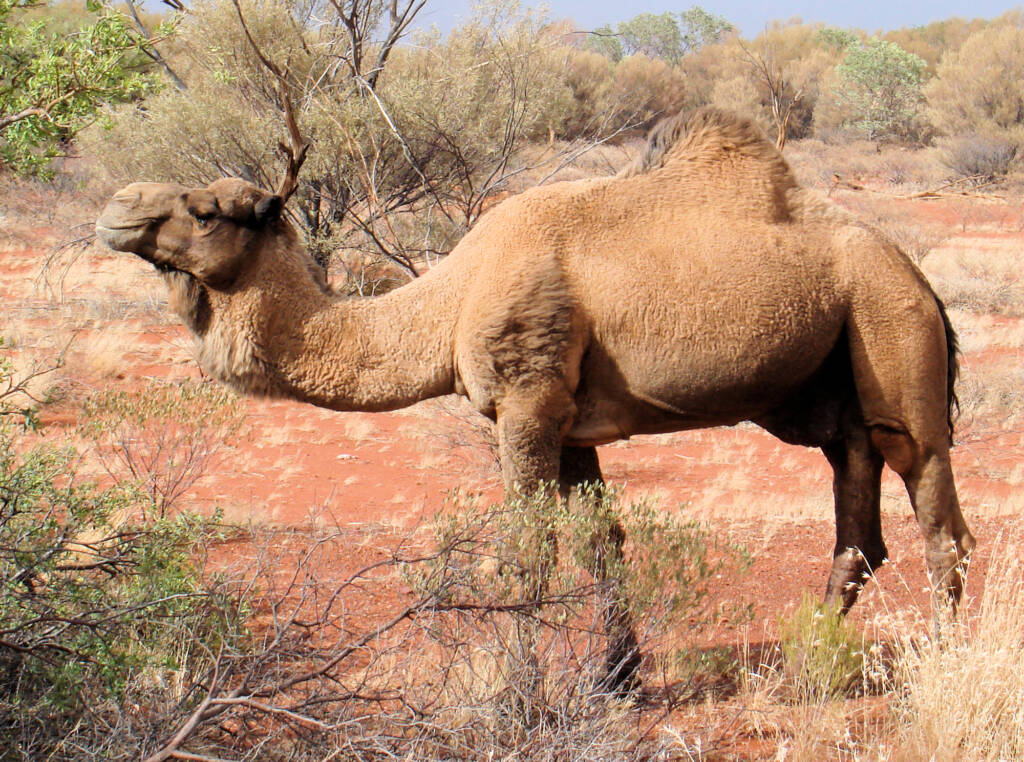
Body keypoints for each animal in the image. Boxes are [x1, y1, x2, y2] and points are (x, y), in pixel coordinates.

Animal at [97, 106, 974, 686]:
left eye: (206, 210)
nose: (116, 206)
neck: (450, 299)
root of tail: (918, 277)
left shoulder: (524, 404)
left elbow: (527, 555)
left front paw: (519, 691)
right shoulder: (572, 424)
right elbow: (599, 542)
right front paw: (616, 680)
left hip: (891, 335)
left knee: (939, 514)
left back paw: (942, 665)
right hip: (830, 394)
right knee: (858, 531)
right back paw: (800, 666)